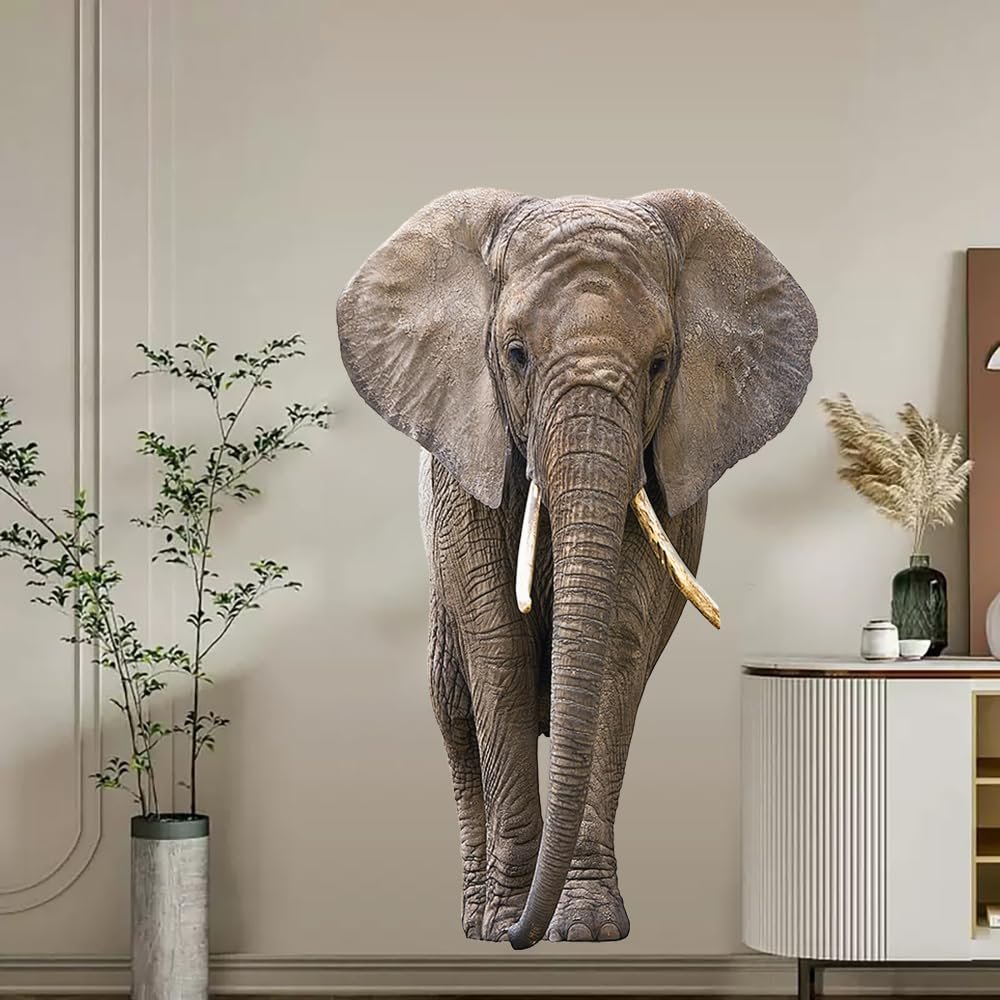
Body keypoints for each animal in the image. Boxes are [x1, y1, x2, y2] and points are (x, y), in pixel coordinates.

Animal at [337, 189, 817, 949]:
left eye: (660, 363)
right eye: (516, 354)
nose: (520, 937)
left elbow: (619, 643)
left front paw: (588, 929)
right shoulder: (464, 456)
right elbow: (497, 644)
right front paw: (505, 921)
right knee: (450, 700)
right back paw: (473, 920)